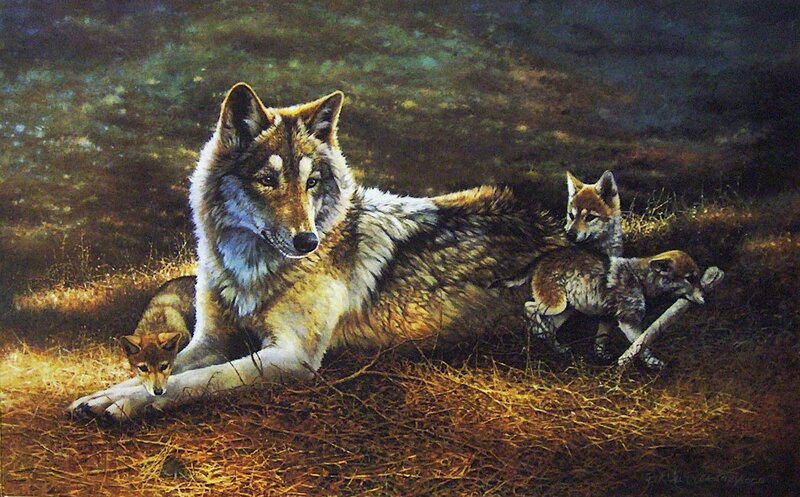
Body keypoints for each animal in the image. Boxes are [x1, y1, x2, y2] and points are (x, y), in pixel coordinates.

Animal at [69, 83, 567, 420]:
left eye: (311, 182)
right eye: (267, 180)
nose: (307, 241)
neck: (250, 271)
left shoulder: (292, 358)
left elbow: (194, 381)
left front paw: (126, 403)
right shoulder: (209, 340)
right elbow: (165, 369)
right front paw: (111, 392)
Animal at [522, 248, 704, 370]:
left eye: (697, 277)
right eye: (689, 278)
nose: (704, 299)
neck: (641, 280)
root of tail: (545, 257)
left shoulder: (607, 320)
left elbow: (600, 342)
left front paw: (602, 357)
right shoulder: (628, 323)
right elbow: (642, 345)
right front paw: (653, 363)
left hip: (568, 308)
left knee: (550, 328)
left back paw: (554, 343)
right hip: (557, 305)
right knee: (529, 307)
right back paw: (539, 330)